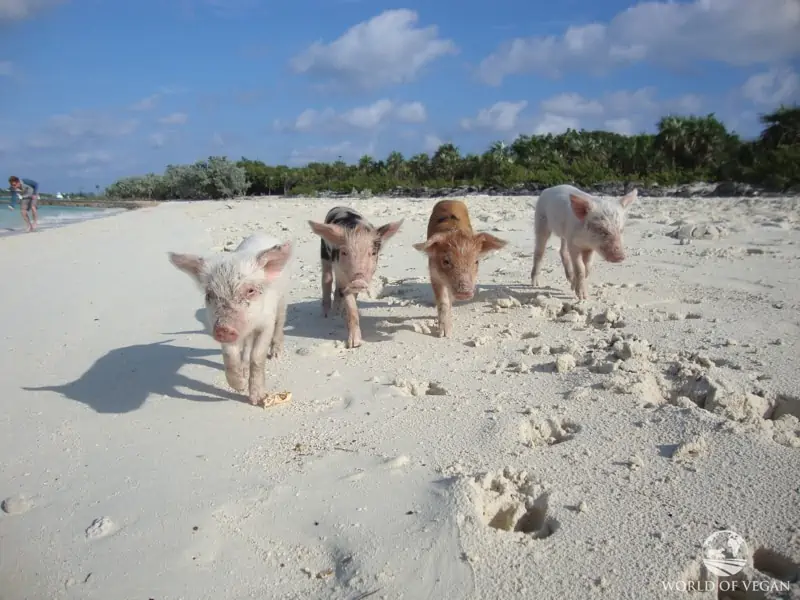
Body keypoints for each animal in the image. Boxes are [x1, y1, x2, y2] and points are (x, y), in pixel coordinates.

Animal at [168, 232, 293, 406]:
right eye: (209, 294)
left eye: (250, 290)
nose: (224, 328)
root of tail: (263, 234)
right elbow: (229, 356)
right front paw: (240, 386)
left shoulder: (266, 323)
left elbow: (257, 356)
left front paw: (257, 399)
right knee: (246, 345)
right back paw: (244, 368)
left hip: (282, 300)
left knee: (280, 322)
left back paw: (275, 354)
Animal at [308, 207, 404, 349]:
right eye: (344, 252)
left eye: (373, 253)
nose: (358, 280)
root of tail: (338, 206)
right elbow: (351, 307)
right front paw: (354, 344)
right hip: (324, 252)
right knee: (327, 279)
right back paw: (327, 315)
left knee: (337, 290)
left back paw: (338, 314)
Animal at [412, 199, 507, 337]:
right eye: (446, 261)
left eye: (476, 261)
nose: (464, 291)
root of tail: (450, 200)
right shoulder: (433, 274)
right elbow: (443, 301)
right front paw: (444, 334)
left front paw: (447, 332)